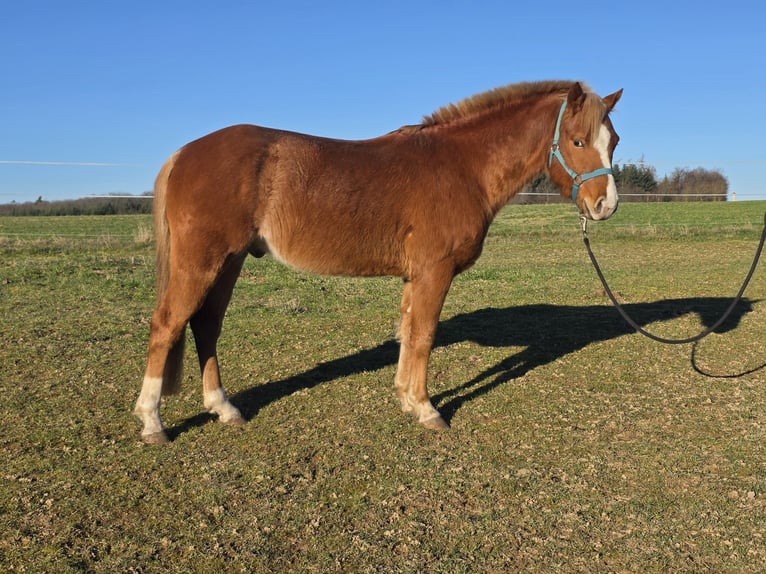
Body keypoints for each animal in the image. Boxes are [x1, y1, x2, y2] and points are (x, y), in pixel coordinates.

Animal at [134, 80, 622, 444]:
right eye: (577, 140)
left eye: (613, 141)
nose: (606, 206)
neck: (462, 166)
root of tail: (183, 154)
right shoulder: (434, 272)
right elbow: (424, 336)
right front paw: (427, 410)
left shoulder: (415, 276)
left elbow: (408, 333)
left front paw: (406, 399)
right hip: (203, 261)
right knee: (167, 324)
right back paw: (153, 421)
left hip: (229, 262)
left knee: (206, 325)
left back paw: (223, 407)